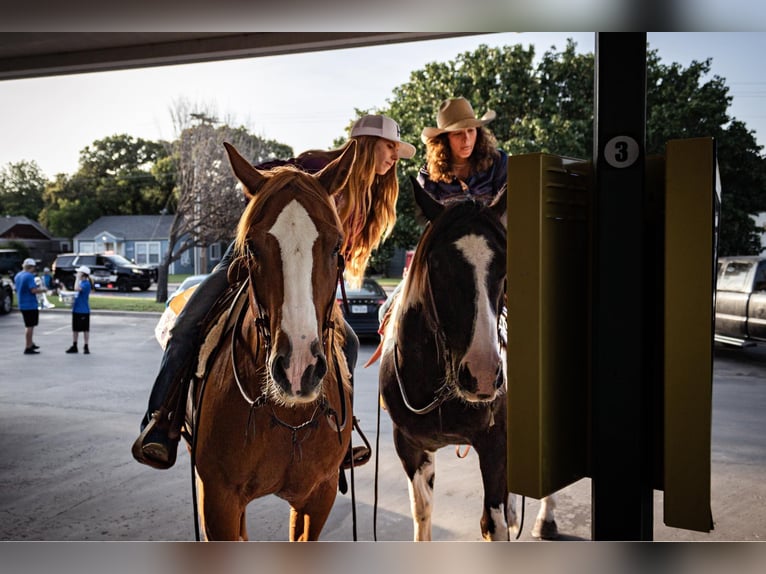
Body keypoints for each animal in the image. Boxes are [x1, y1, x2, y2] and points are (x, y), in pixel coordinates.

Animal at [190, 142, 358, 544]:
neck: (287, 417)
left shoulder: (319, 496)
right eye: (251, 247)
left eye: (337, 246)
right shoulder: (217, 498)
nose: (298, 369)